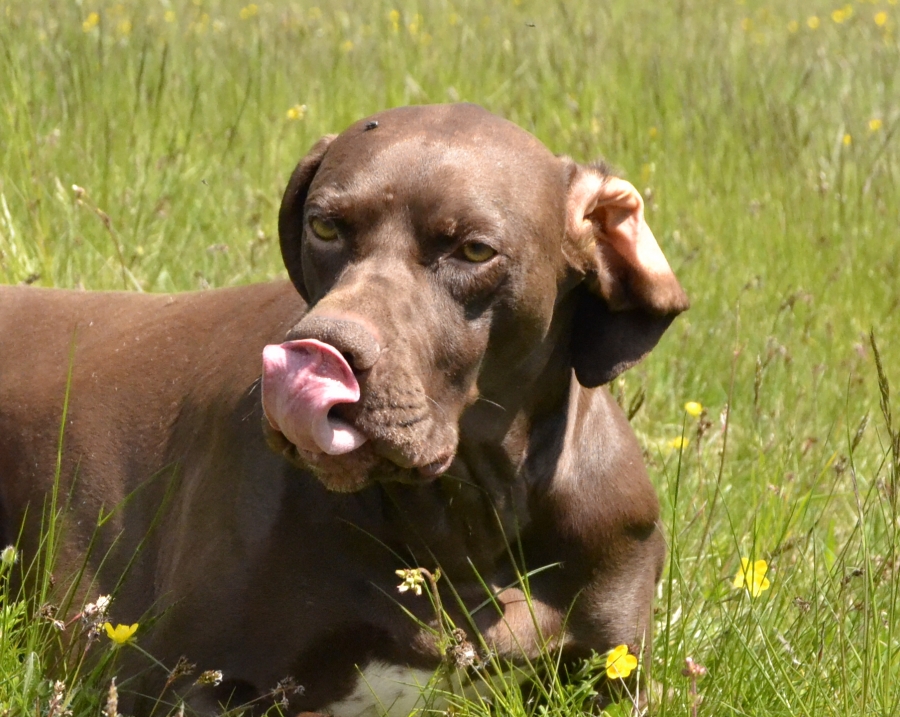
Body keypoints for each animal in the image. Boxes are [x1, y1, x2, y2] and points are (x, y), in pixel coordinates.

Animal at [0, 103, 688, 714]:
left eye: (473, 251)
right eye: (326, 227)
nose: (319, 353)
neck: (467, 519)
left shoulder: (615, 673)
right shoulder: (178, 681)